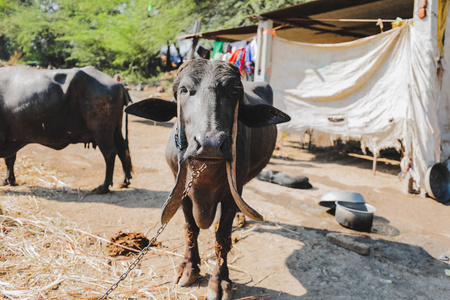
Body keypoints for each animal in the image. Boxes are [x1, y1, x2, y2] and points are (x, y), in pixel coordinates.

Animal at [0, 65, 132, 193]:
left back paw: (103, 187)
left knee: (110, 153)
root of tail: (118, 84)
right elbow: (10, 159)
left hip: (101, 131)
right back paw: (124, 181)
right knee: (122, 149)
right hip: (115, 129)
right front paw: (8, 179)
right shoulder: (12, 137)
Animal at [125, 59, 290, 300]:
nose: (210, 143)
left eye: (234, 91)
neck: (204, 173)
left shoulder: (231, 195)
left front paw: (220, 280)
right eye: (183, 90)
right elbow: (191, 228)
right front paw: (189, 268)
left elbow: (222, 237)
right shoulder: (182, 192)